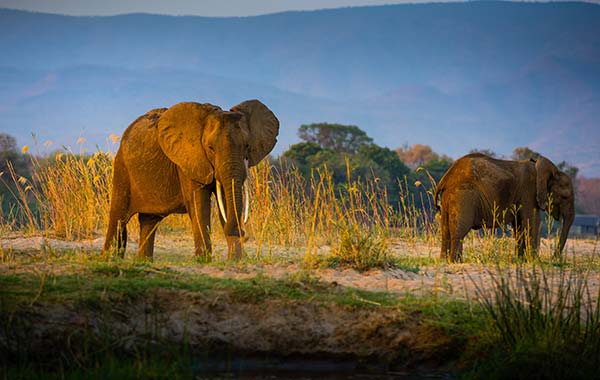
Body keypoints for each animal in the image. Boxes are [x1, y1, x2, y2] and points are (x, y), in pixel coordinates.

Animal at [102, 99, 278, 262]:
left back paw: (143, 262)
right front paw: (203, 260)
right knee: (119, 218)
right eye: (210, 148)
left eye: (247, 146)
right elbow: (199, 204)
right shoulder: (188, 160)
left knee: (149, 221)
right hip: (122, 169)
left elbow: (226, 201)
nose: (243, 233)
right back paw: (109, 258)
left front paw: (235, 260)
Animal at [434, 151, 576, 262]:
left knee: (445, 230)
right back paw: (454, 262)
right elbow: (532, 222)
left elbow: (519, 226)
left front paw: (521, 260)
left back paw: (444, 261)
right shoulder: (529, 192)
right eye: (564, 197)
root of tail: (446, 178)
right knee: (460, 230)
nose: (554, 258)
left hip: (448, 197)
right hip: (463, 195)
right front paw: (535, 261)